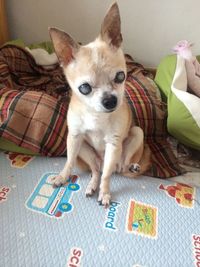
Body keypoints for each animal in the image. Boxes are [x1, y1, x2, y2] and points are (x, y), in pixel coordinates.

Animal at [49, 2, 151, 208]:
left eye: (121, 76)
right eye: (84, 88)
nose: (110, 100)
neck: (96, 114)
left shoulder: (113, 143)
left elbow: (107, 176)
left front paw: (105, 193)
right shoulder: (74, 137)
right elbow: (69, 161)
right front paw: (63, 177)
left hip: (135, 135)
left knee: (116, 168)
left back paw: (132, 167)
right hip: (84, 148)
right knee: (96, 170)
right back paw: (91, 185)